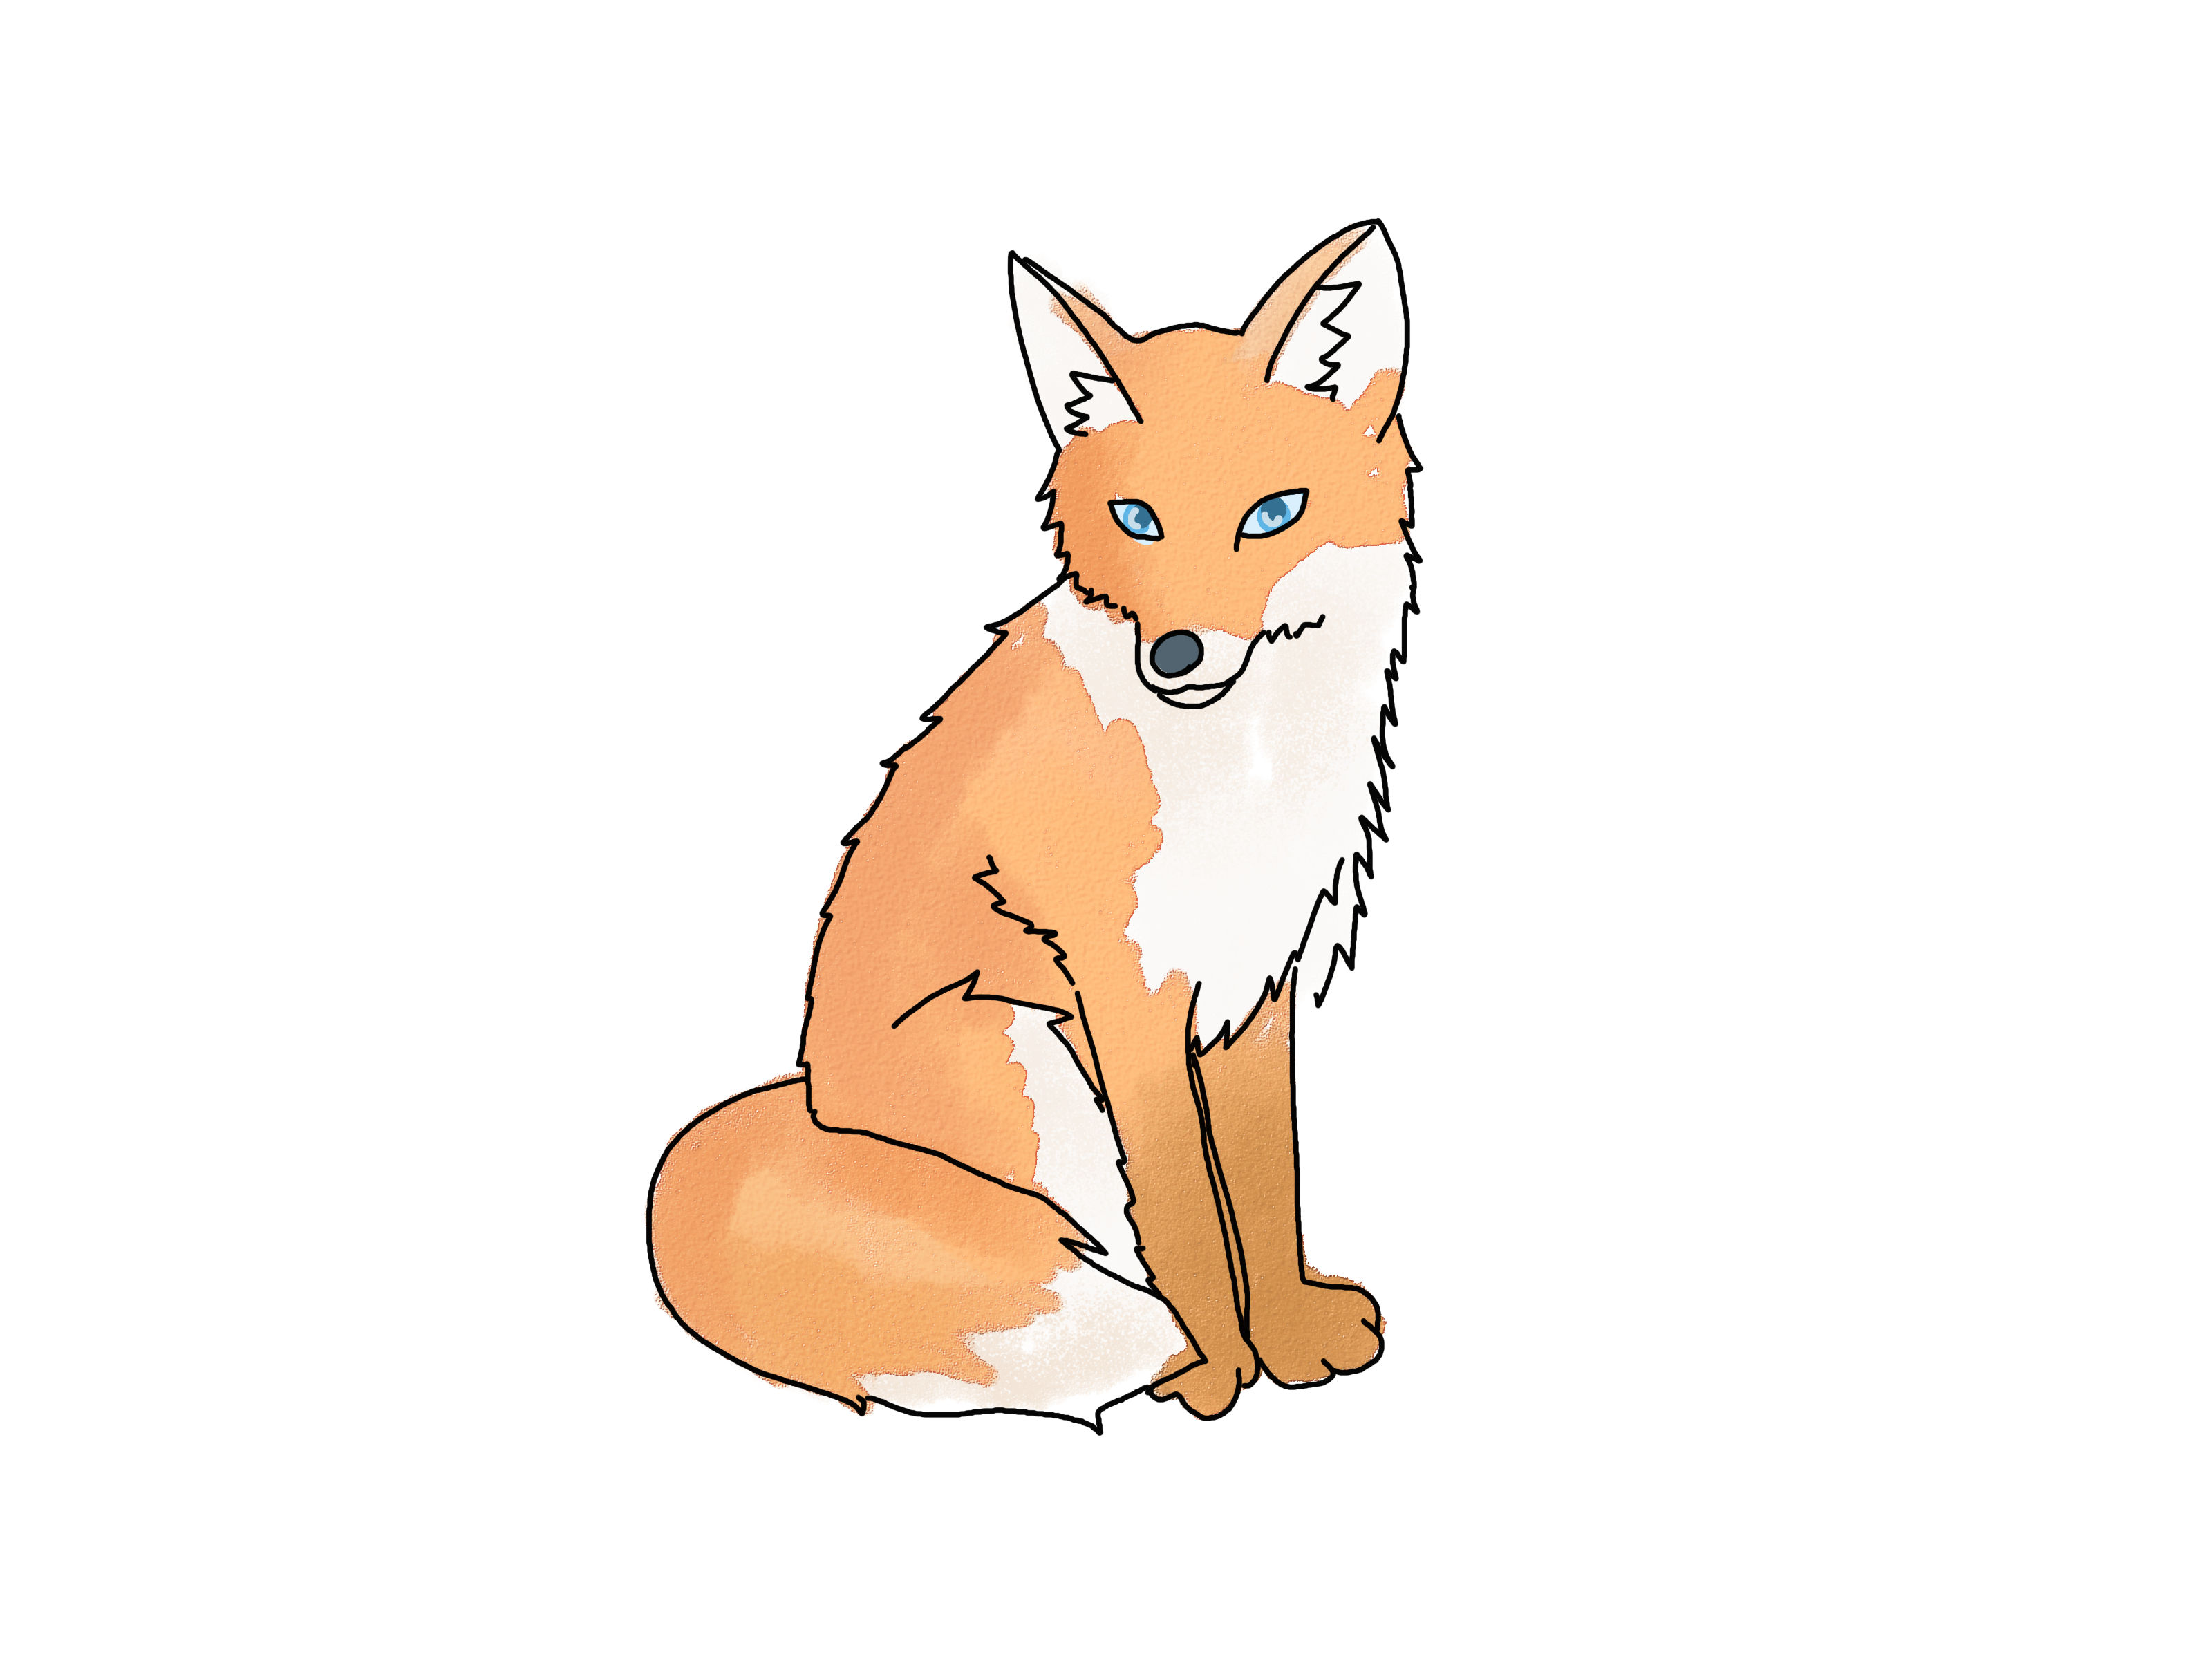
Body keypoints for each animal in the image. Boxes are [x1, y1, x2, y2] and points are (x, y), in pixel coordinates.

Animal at [648, 221, 1420, 1427]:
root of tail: (811, 1105)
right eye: (1137, 520)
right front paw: (1221, 1364)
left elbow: (1263, 1182)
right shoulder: (1125, 988)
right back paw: (1168, 1357)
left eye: (1272, 514)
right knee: (1106, 1238)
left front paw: (1290, 1337)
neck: (1246, 766)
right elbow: (1186, 1210)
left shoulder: (1255, 981)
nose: (1177, 656)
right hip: (1031, 1050)